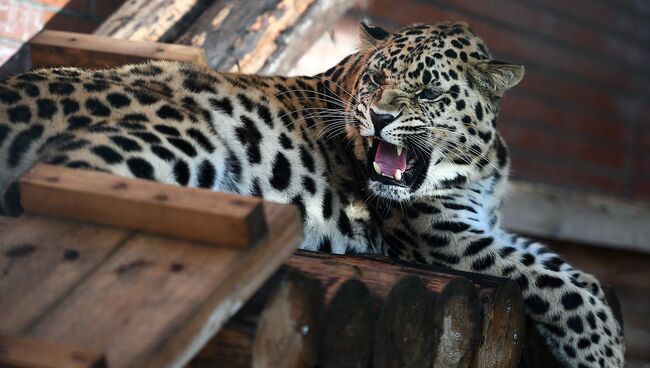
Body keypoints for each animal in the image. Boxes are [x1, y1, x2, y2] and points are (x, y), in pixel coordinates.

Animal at [1, 21, 624, 366]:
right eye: (377, 79)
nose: (380, 116)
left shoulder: (484, 224)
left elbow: (571, 270)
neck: (479, 164)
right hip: (178, 138)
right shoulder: (446, 240)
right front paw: (602, 354)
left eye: (427, 91)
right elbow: (566, 286)